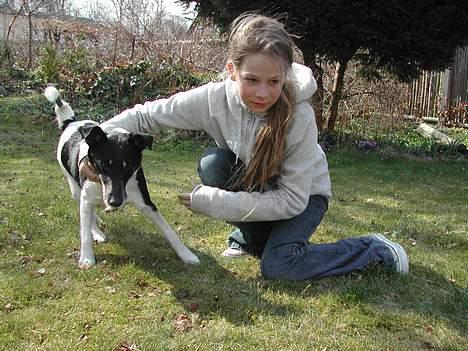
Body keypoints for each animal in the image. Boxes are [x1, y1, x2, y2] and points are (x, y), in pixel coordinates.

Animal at [46, 86, 200, 268]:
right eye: (104, 164)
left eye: (129, 166)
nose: (115, 202)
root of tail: (70, 122)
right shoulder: (87, 196)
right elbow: (84, 230)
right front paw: (86, 257)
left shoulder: (146, 202)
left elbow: (168, 230)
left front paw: (186, 254)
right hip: (75, 189)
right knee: (86, 213)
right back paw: (97, 232)